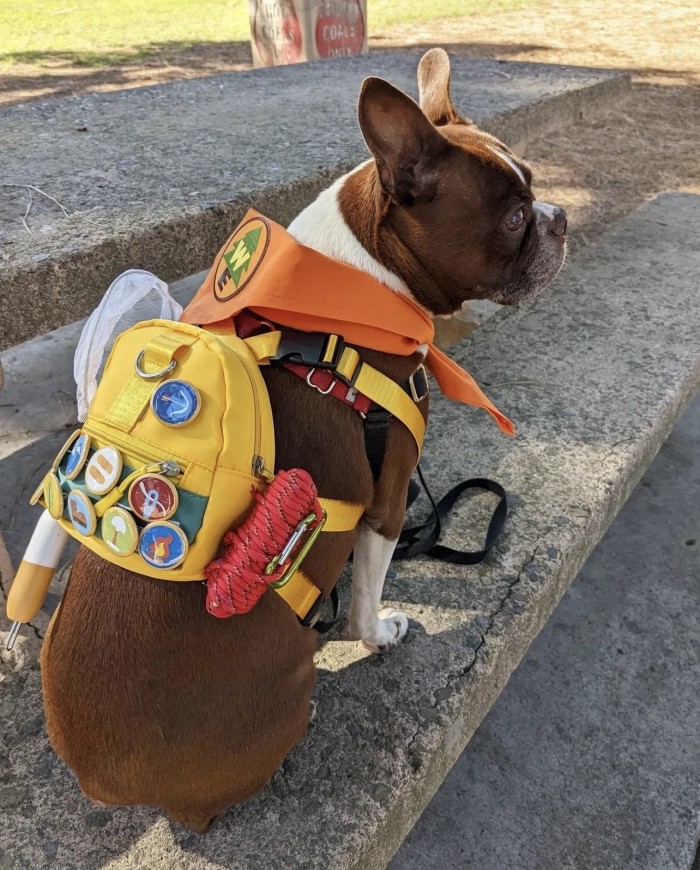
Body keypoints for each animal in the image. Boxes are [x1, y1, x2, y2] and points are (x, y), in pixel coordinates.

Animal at [39, 49, 568, 836]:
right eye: (511, 217)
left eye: (534, 187)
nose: (558, 217)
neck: (367, 272)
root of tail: (110, 787)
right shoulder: (387, 494)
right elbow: (368, 596)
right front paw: (379, 632)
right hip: (280, 688)